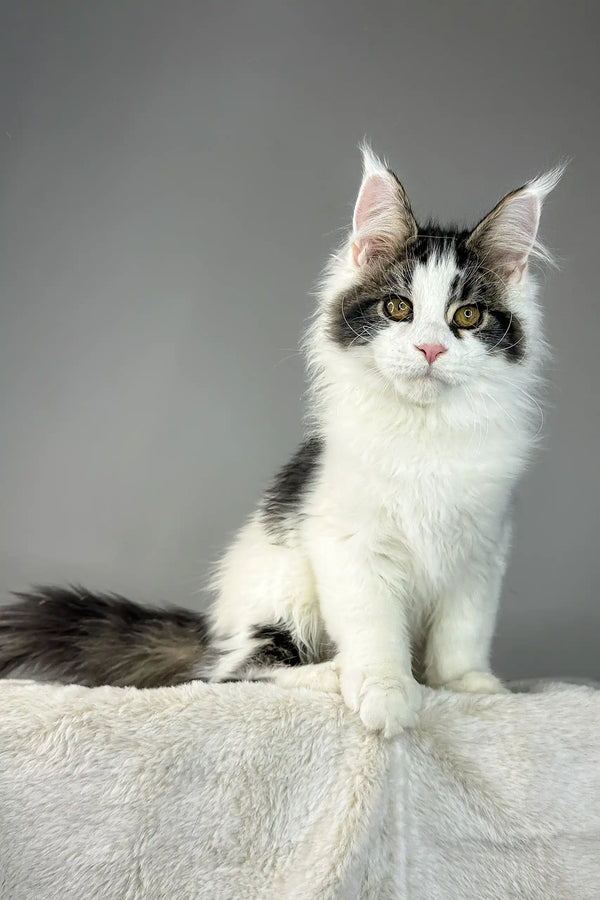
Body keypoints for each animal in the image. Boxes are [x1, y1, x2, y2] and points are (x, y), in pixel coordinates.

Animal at [0, 148, 564, 736]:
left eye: (467, 316)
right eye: (397, 309)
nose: (430, 349)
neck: (423, 433)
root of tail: (213, 630)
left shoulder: (481, 550)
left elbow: (464, 630)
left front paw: (470, 687)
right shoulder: (349, 544)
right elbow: (374, 630)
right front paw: (387, 693)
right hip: (282, 589)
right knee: (234, 671)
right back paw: (332, 674)